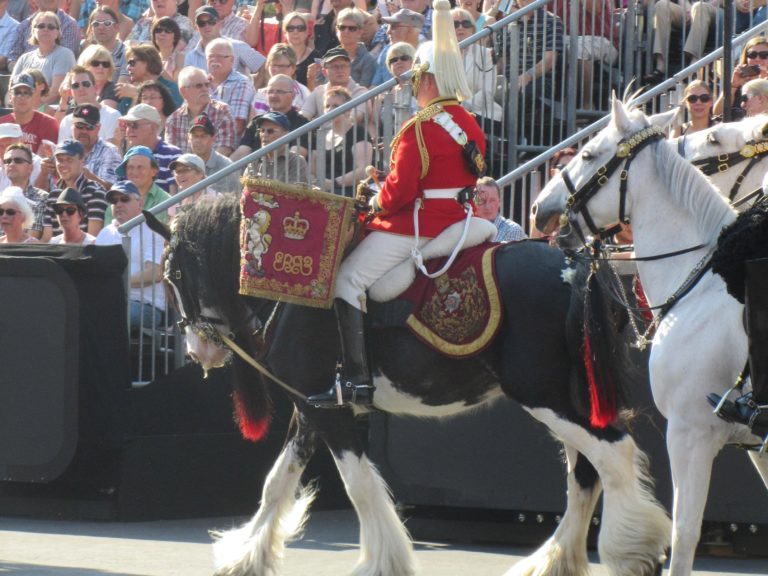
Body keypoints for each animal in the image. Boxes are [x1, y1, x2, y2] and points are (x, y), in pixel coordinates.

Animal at [147, 195, 668, 576]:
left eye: (174, 274)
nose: (198, 350)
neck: (292, 291)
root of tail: (577, 266)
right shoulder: (313, 407)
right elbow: (278, 481)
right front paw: (245, 555)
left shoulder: (330, 412)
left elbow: (358, 485)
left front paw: (383, 561)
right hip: (567, 397)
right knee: (585, 474)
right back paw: (554, 561)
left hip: (546, 395)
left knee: (613, 454)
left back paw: (631, 549)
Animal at [532, 99, 768, 576]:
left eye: (588, 155)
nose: (539, 209)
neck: (701, 284)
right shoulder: (757, 447)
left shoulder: (689, 433)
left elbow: (684, 535)